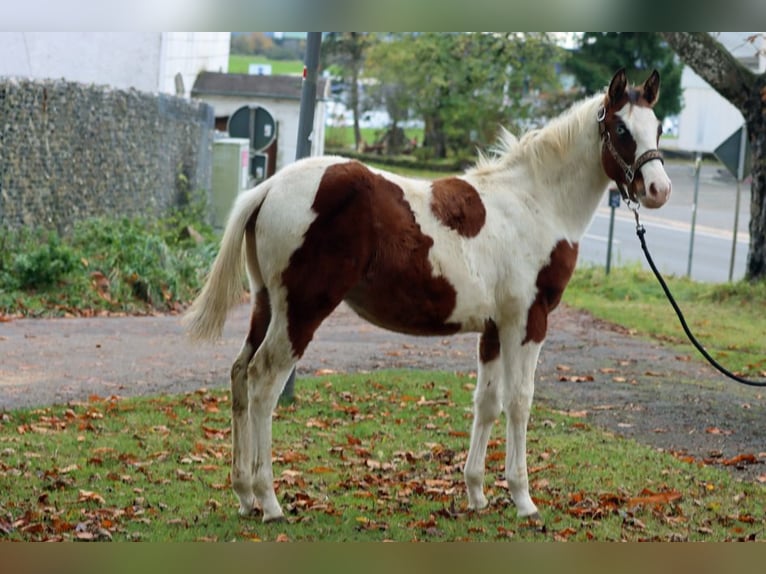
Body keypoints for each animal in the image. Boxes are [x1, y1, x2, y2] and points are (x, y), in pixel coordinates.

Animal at [184, 66, 672, 520]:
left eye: (659, 128)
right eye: (621, 130)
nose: (658, 190)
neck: (535, 203)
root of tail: (268, 187)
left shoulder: (494, 329)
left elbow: (487, 402)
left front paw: (476, 493)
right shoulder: (527, 321)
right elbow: (519, 401)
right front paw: (523, 498)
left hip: (267, 305)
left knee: (239, 374)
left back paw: (244, 494)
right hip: (302, 311)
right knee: (264, 382)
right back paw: (269, 500)